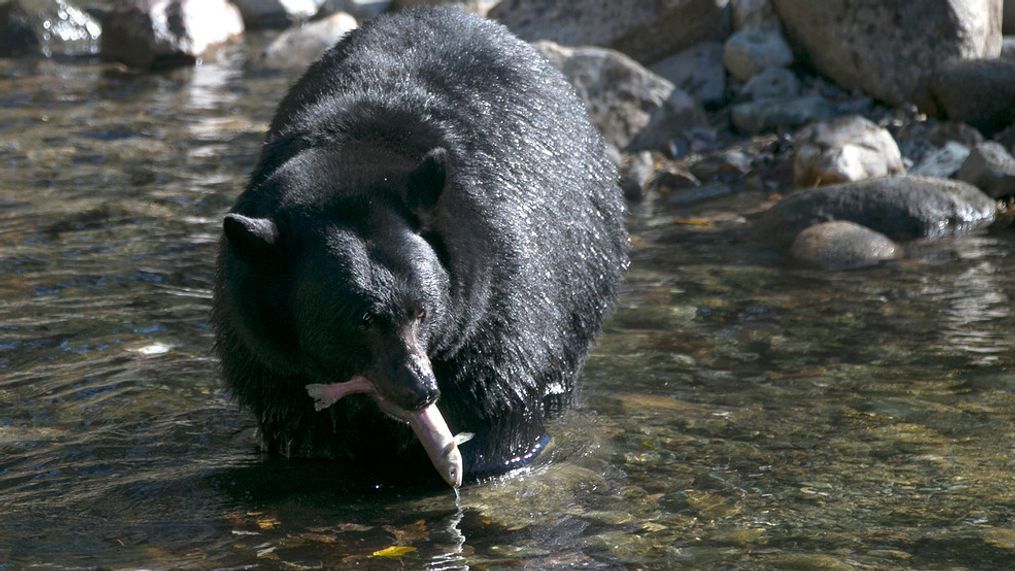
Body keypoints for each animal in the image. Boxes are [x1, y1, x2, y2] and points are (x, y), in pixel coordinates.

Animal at [210, 5, 625, 486]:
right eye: (363, 320)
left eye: (422, 311)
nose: (421, 391)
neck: (350, 156)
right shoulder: (264, 350)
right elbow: (298, 424)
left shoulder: (500, 294)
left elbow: (500, 393)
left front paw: (485, 453)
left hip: (587, 264)